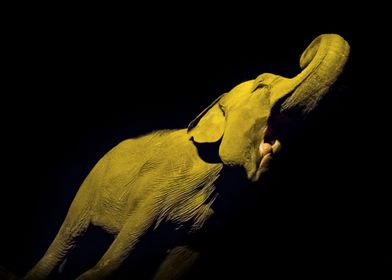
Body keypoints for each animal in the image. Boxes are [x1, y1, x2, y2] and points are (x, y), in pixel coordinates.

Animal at [11, 33, 350, 280]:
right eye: (262, 85)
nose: (302, 55)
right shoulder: (158, 190)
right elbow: (123, 248)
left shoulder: (208, 222)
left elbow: (179, 262)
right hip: (88, 187)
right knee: (68, 238)